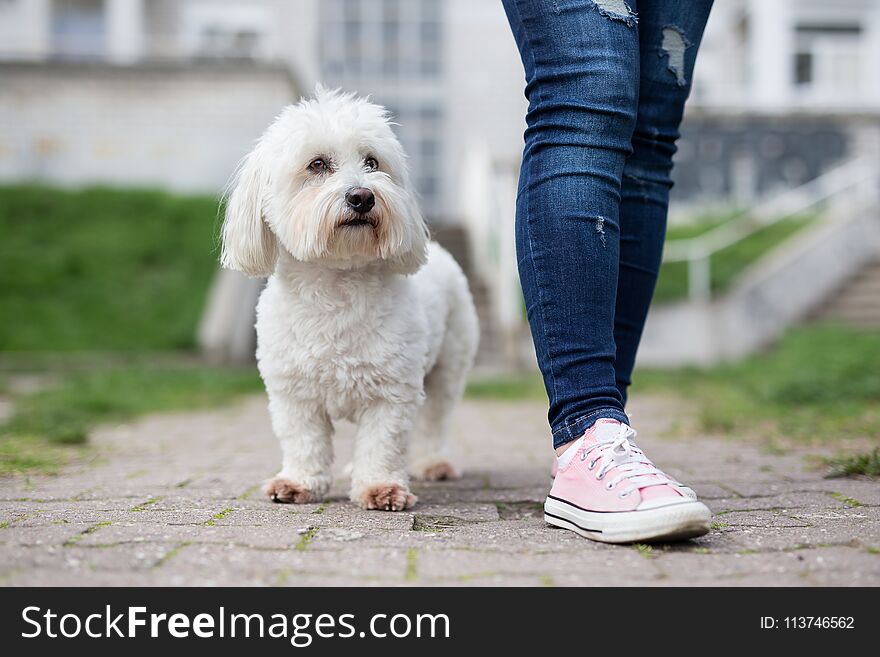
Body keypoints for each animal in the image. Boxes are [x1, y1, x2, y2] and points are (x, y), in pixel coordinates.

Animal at [223, 84, 478, 510]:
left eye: (372, 162)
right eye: (317, 164)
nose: (362, 196)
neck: (336, 283)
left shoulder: (391, 393)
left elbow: (382, 443)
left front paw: (380, 487)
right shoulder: (294, 394)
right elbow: (304, 441)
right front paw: (298, 482)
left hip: (448, 365)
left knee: (435, 419)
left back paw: (433, 463)